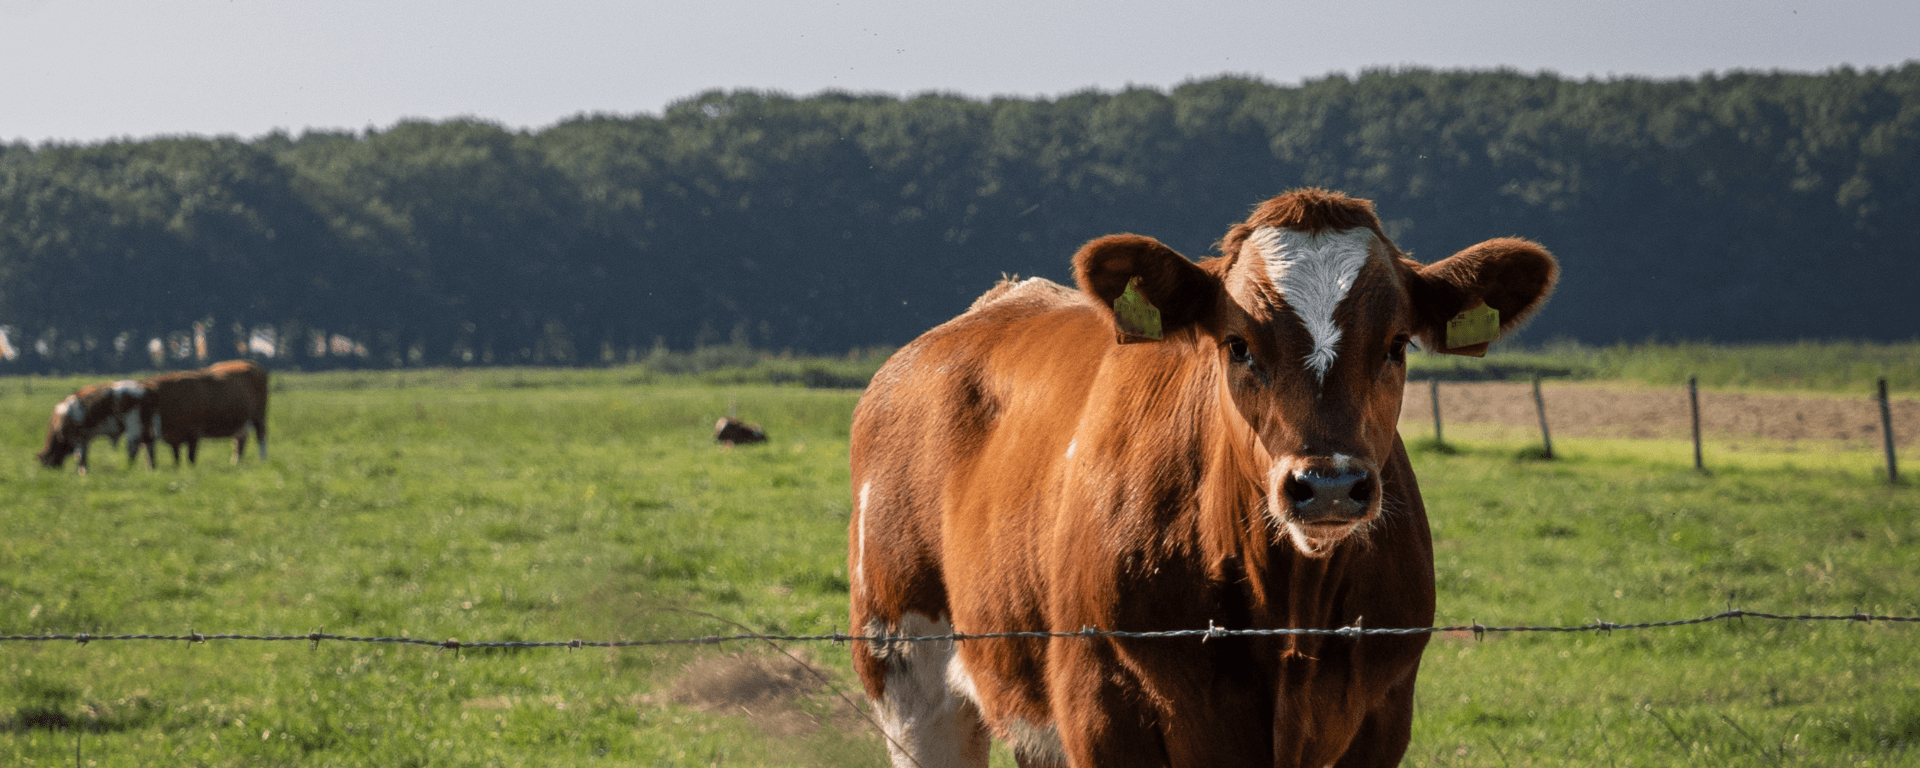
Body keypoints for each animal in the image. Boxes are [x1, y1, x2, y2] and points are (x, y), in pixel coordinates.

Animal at [128, 359, 270, 468]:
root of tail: (249, 363)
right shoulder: (171, 437)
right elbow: (173, 456)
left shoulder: (193, 432)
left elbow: (191, 457)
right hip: (241, 422)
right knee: (239, 442)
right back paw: (235, 463)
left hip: (259, 416)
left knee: (261, 437)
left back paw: (263, 460)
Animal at [847, 188, 1557, 767]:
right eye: (1238, 344)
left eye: (1396, 344)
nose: (1328, 485)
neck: (1287, 625)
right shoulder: (1103, 708)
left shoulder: (1383, 715)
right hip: (907, 673)